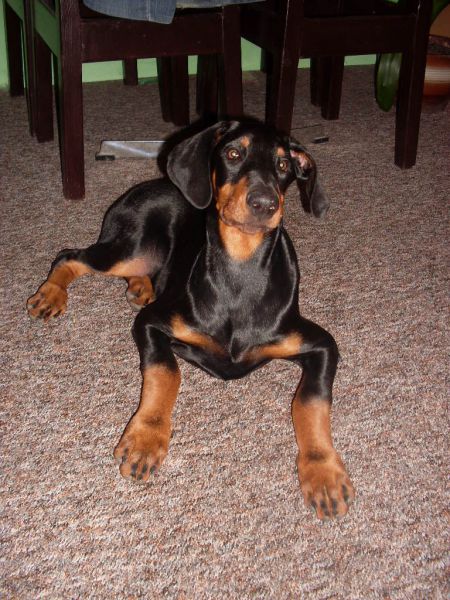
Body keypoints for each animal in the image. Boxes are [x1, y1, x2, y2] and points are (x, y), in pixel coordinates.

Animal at [27, 121, 354, 520]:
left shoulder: (322, 344)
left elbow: (310, 401)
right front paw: (146, 439)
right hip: (132, 247)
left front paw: (323, 473)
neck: (240, 269)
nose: (265, 204)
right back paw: (50, 296)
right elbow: (166, 372)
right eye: (233, 153)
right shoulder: (152, 323)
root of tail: (153, 183)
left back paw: (140, 286)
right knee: (69, 256)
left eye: (284, 165)